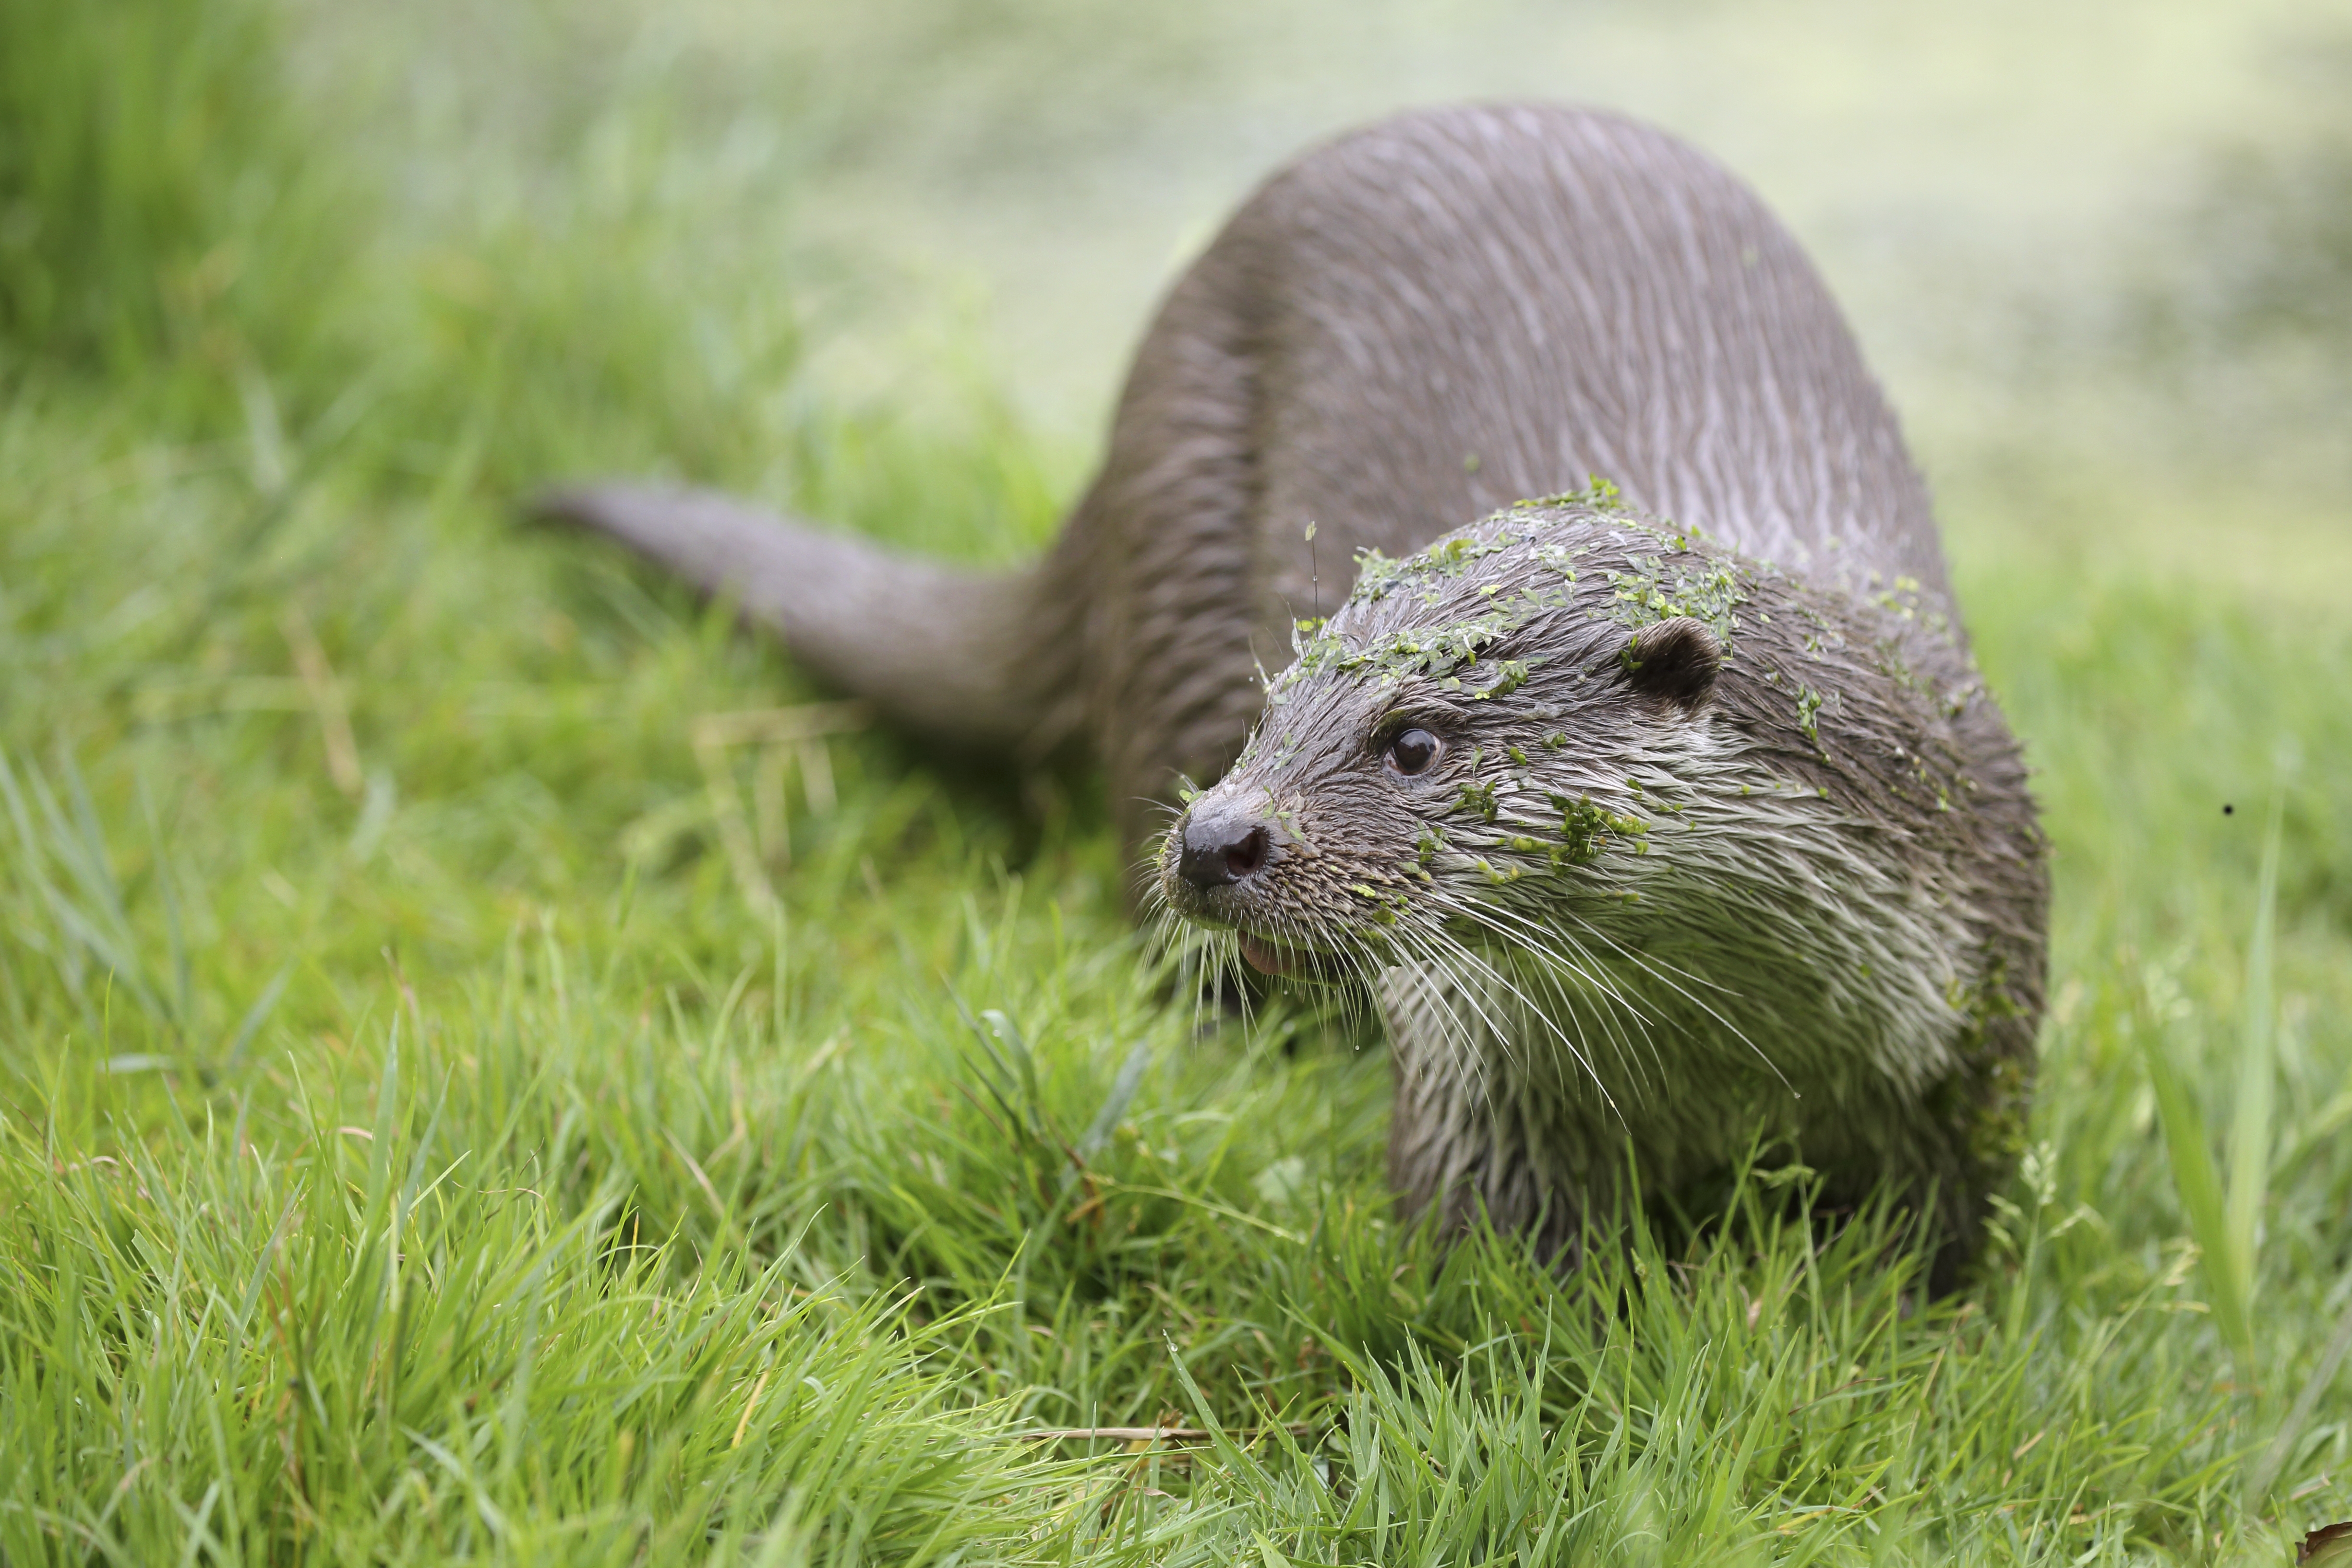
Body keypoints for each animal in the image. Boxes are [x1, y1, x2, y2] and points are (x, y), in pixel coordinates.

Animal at [537, 104, 2046, 1280]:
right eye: (1277, 712)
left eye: (1415, 740)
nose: (1216, 837)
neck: (1731, 1047)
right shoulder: (1476, 1069)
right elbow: (1488, 1263)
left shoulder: (1977, 1048)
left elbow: (1933, 1259)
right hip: (1176, 591)